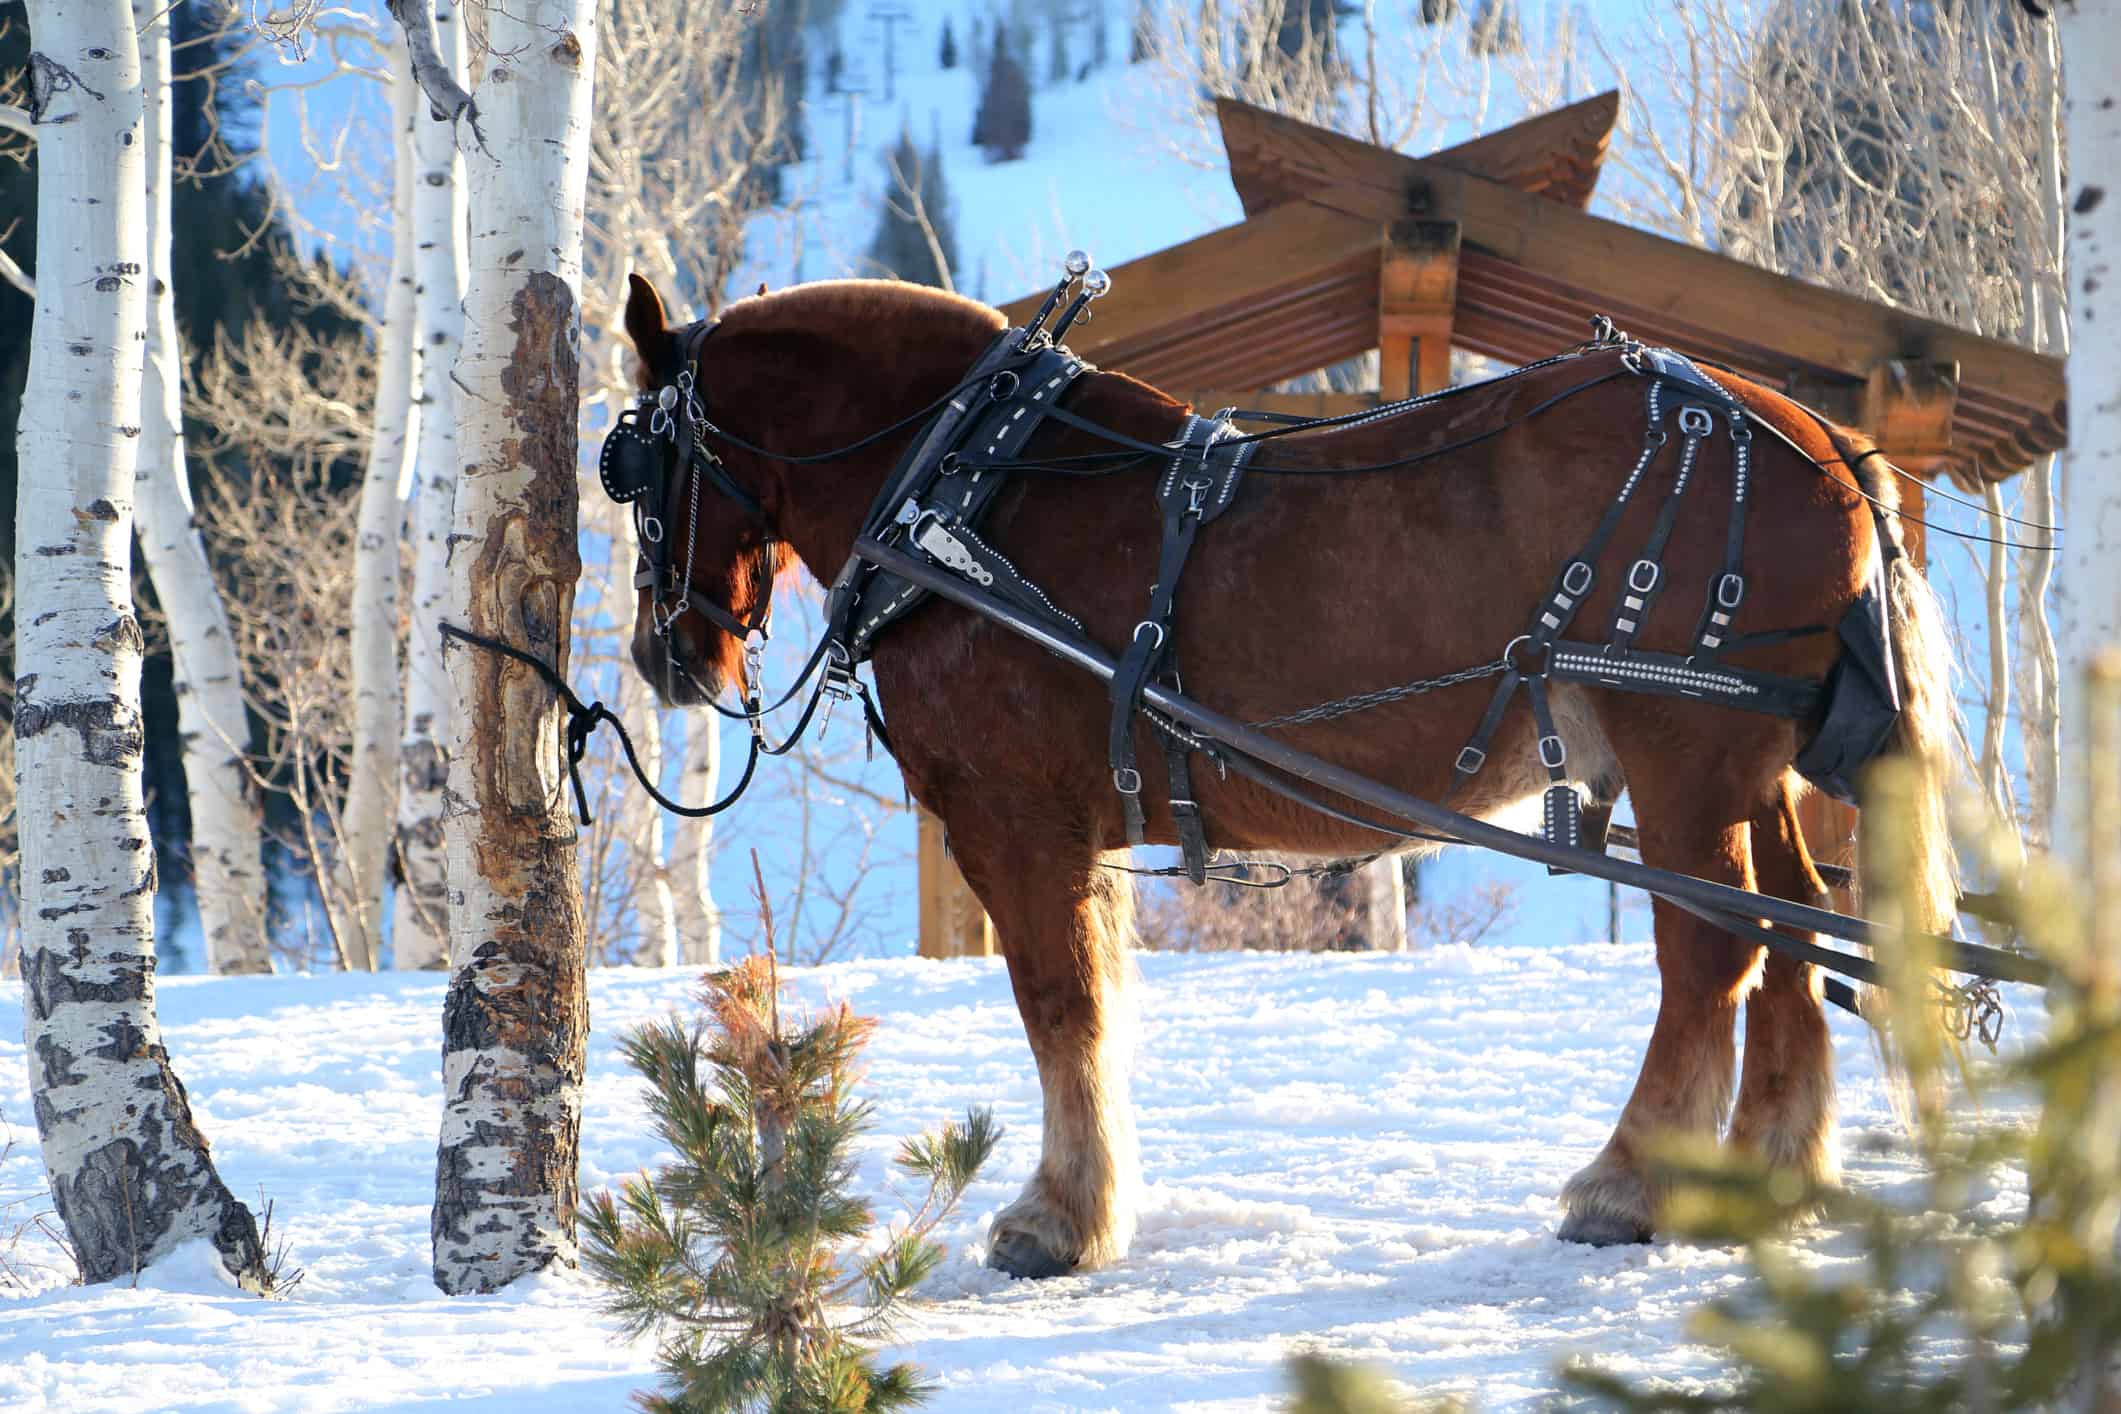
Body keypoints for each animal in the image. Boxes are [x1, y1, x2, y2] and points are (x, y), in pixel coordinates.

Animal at [615, 271, 1951, 1280]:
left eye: (628, 462)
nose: (664, 654)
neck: (967, 491)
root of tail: (1829, 441)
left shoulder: (1015, 823)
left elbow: (1058, 1006)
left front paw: (1059, 1217)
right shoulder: (1079, 836)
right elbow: (1097, 1004)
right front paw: (1090, 1197)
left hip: (1686, 756)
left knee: (1714, 948)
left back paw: (1629, 1182)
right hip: (1751, 771)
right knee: (1795, 926)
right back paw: (1772, 1170)